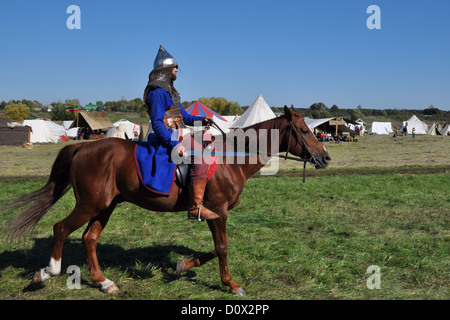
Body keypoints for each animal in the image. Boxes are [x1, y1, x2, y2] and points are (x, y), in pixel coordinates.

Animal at [4, 106, 330, 296]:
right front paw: (230, 283)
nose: (325, 158)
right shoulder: (218, 212)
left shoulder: (214, 214)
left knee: (89, 238)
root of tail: (82, 148)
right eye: (304, 130)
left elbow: (215, 249)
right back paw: (48, 272)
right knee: (61, 229)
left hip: (105, 206)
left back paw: (103, 281)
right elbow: (222, 248)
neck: (231, 159)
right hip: (89, 205)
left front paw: (184, 265)